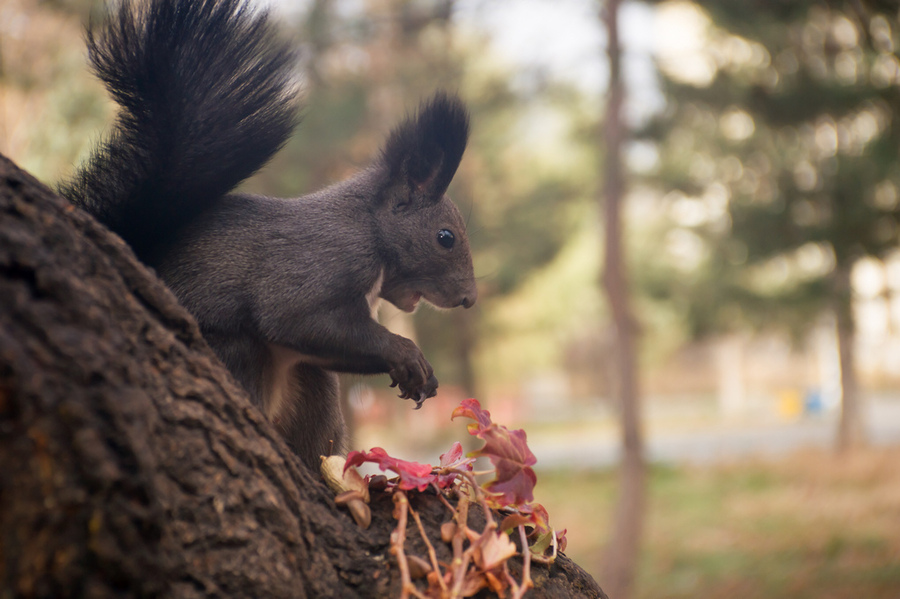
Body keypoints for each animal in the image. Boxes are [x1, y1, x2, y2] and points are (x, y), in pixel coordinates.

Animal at [60, 0, 478, 468]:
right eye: (446, 237)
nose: (469, 298)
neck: (368, 229)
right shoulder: (320, 261)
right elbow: (295, 318)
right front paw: (407, 355)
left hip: (313, 389)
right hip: (234, 354)